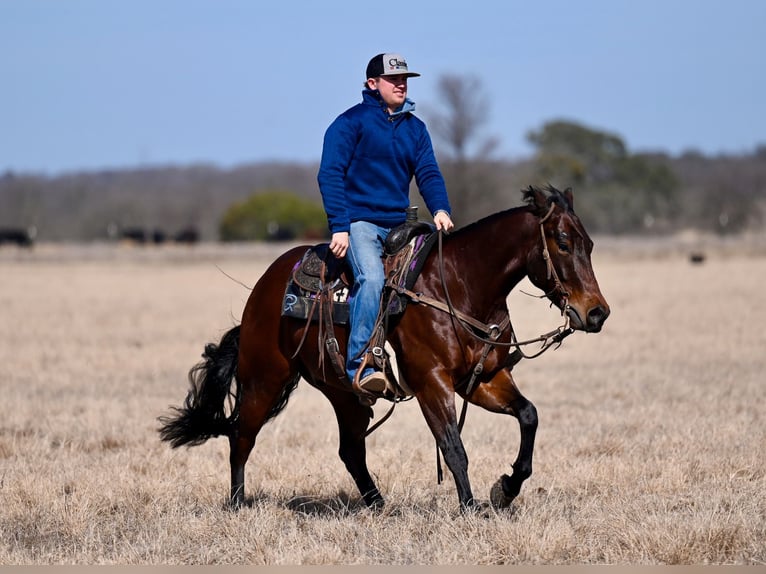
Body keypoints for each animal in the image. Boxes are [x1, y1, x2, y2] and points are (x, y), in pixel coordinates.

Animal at [158, 185, 610, 512]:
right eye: (563, 242)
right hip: (263, 379)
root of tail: (264, 287)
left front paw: (506, 488)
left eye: (590, 244)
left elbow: (528, 416)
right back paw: (237, 504)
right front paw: (470, 507)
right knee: (241, 436)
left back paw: (377, 504)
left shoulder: (484, 380)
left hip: (344, 392)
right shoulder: (432, 384)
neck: (460, 285)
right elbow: (454, 448)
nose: (597, 313)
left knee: (350, 450)